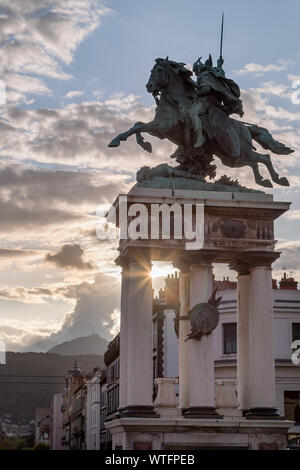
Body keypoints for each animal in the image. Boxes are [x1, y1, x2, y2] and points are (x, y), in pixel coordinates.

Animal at [108, 58, 292, 189]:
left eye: (159, 70)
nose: (149, 86)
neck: (175, 101)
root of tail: (246, 128)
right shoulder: (160, 131)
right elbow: (136, 125)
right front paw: (144, 144)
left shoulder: (162, 126)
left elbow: (137, 127)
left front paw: (116, 141)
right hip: (232, 158)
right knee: (255, 162)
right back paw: (264, 181)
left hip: (239, 152)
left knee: (265, 158)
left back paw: (278, 179)